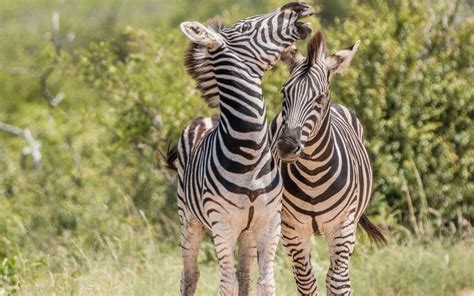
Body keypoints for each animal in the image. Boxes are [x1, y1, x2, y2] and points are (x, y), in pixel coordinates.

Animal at [167, 2, 314, 294]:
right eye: (246, 27)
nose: (297, 6)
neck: (250, 152)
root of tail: (208, 117)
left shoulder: (269, 223)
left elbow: (265, 282)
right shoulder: (222, 226)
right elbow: (227, 284)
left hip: (246, 232)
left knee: (244, 274)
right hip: (189, 219)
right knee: (190, 274)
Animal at [268, 31, 386, 294]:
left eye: (319, 97)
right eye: (283, 92)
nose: (287, 146)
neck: (313, 173)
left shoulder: (342, 226)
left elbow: (338, 282)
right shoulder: (292, 229)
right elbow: (305, 281)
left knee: (336, 275)